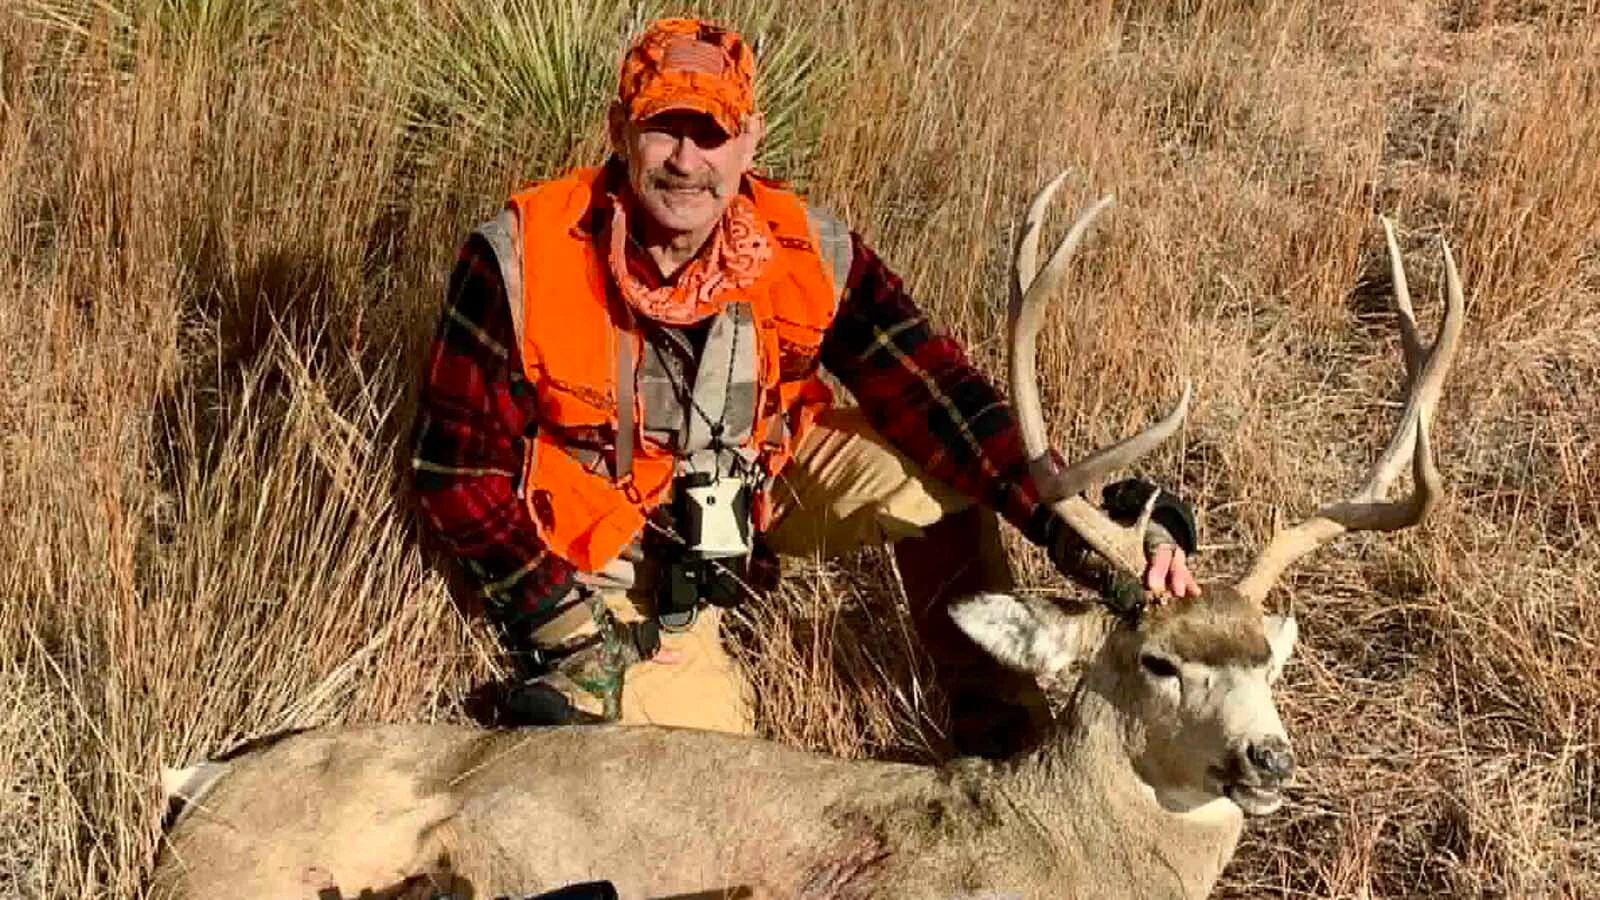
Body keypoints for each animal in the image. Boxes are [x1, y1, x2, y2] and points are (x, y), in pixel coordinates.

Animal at [150, 173, 1465, 900]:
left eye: (1272, 657)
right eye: (1157, 660)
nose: (1268, 760)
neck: (1062, 850)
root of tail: (205, 780)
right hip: (245, 871)